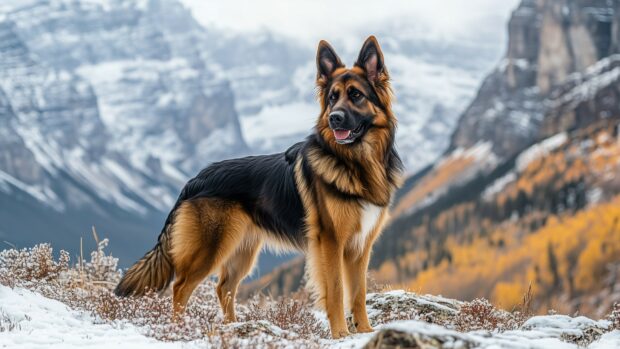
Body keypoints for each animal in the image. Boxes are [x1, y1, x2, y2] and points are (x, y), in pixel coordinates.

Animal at [114, 36, 402, 338]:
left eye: (356, 95)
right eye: (333, 97)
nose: (334, 117)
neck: (356, 162)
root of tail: (194, 180)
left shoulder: (360, 247)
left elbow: (358, 293)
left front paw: (365, 330)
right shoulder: (331, 242)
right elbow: (335, 291)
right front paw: (341, 335)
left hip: (242, 250)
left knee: (224, 287)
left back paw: (233, 327)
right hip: (209, 249)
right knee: (181, 287)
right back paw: (180, 331)